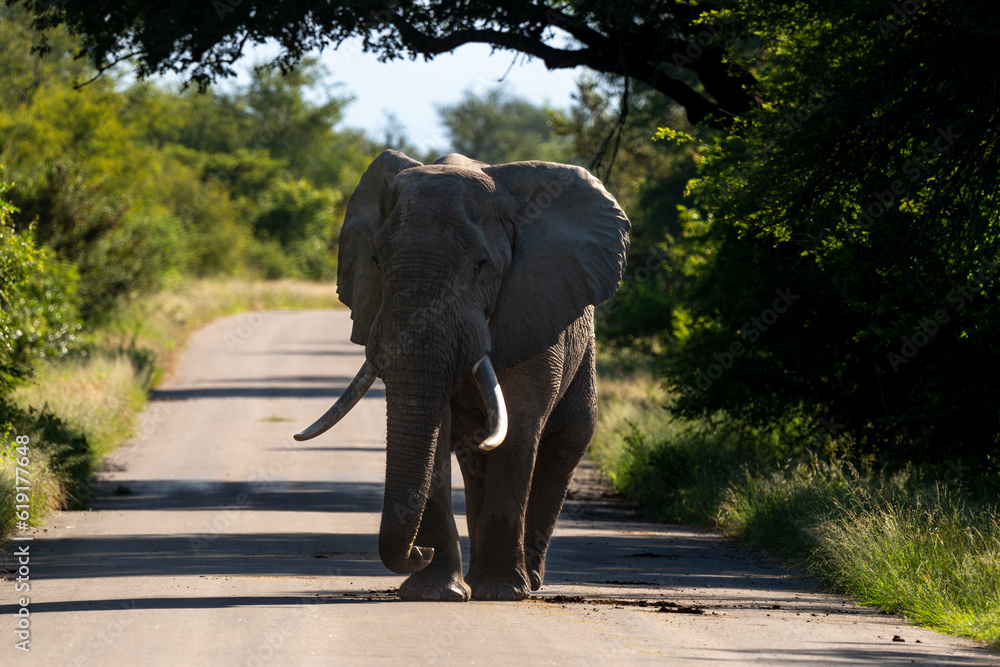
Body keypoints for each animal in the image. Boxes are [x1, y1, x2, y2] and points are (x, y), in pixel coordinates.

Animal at [295, 149, 629, 601]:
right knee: (476, 460)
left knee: (564, 445)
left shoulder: (533, 307)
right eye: (376, 260)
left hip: (584, 354)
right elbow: (437, 428)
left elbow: (519, 428)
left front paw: (501, 592)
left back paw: (530, 581)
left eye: (481, 264)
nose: (420, 551)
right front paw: (435, 592)